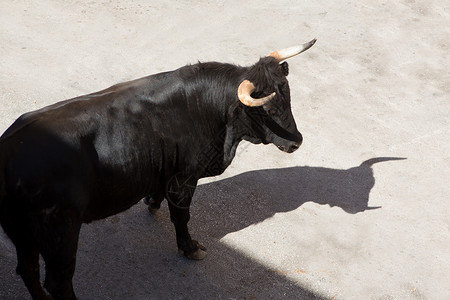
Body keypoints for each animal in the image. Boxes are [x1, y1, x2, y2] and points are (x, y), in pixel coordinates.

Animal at [0, 42, 316, 300]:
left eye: (288, 98)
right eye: (269, 111)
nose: (297, 141)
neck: (210, 110)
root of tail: (9, 149)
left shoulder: (168, 173)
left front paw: (152, 201)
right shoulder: (186, 177)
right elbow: (182, 215)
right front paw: (190, 247)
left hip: (23, 233)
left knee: (27, 270)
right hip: (60, 233)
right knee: (58, 281)